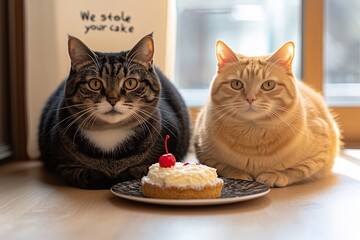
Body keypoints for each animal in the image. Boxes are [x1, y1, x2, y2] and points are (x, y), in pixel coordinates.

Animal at [38, 33, 191, 188]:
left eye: (130, 83)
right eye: (95, 83)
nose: (112, 99)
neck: (110, 131)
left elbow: (141, 169)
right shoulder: (62, 162)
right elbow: (78, 172)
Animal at [194, 40, 340, 188]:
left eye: (268, 85)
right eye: (236, 84)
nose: (250, 98)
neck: (252, 133)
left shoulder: (319, 154)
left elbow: (296, 170)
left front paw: (275, 175)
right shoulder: (205, 155)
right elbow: (224, 167)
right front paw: (239, 174)